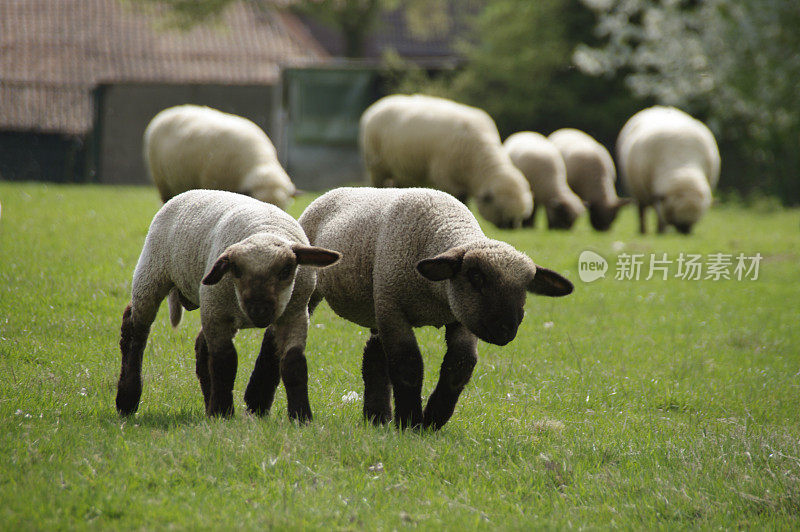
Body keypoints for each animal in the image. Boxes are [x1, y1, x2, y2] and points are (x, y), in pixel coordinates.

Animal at [114, 189, 340, 418]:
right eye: (236, 270)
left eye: (286, 270)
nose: (260, 310)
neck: (266, 228)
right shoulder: (217, 314)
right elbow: (225, 362)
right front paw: (222, 412)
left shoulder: (295, 314)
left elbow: (294, 362)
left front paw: (301, 416)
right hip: (152, 274)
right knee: (135, 331)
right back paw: (127, 399)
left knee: (201, 347)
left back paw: (207, 403)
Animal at [296, 185, 572, 430]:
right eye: (475, 276)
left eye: (526, 287)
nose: (506, 330)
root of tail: (331, 192)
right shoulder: (393, 308)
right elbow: (408, 365)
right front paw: (410, 422)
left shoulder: (461, 316)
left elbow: (460, 365)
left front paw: (433, 420)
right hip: (325, 293)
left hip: (377, 307)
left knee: (373, 358)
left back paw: (377, 417)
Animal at [360, 94, 536, 228]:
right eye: (501, 210)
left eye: (521, 217)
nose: (511, 228)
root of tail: (379, 104)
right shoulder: (447, 177)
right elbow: (459, 199)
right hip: (376, 165)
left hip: (400, 171)